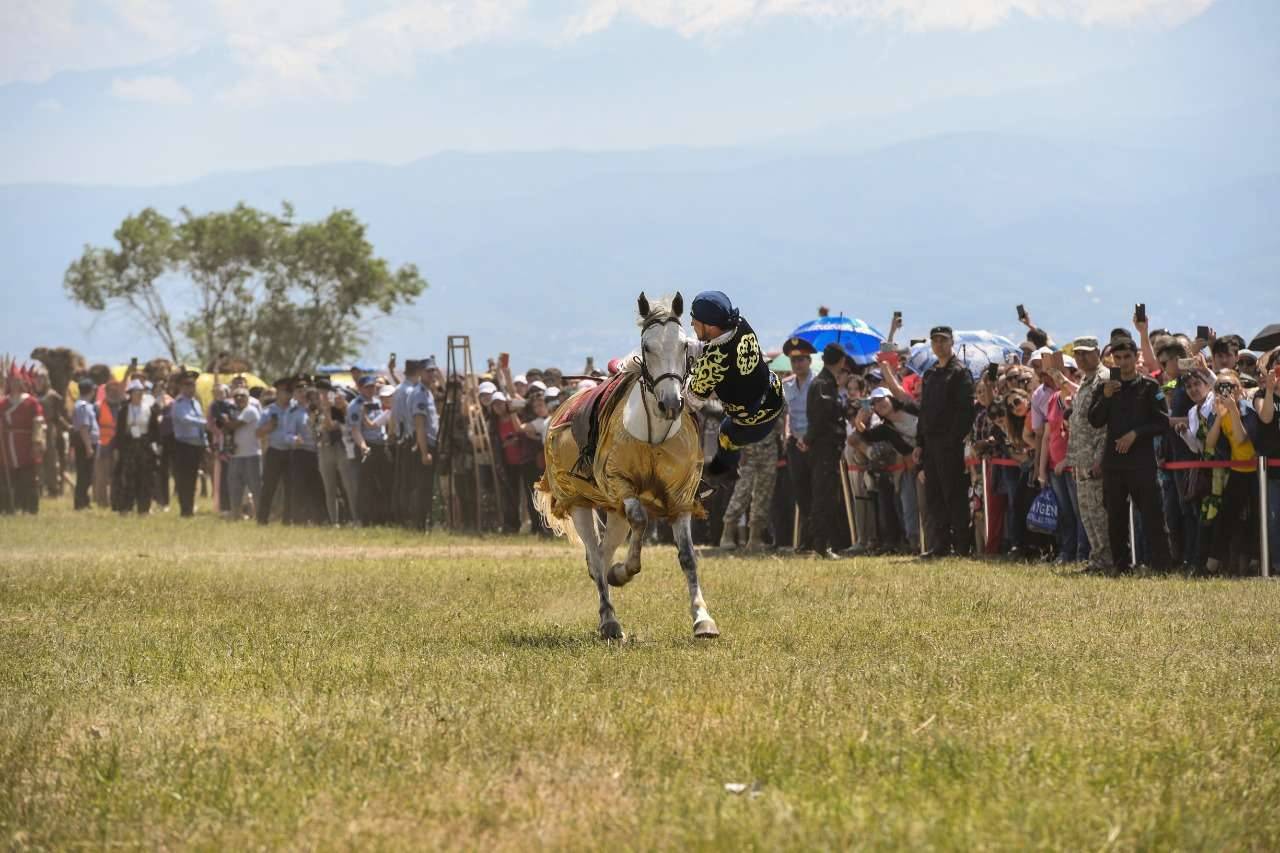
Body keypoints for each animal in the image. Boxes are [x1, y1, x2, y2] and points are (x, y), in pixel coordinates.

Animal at [535, 292, 721, 637]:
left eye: (684, 346)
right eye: (647, 347)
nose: (670, 403)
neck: (653, 435)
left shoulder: (680, 495)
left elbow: (688, 557)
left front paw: (703, 619)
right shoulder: (620, 484)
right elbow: (640, 519)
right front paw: (624, 572)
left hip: (611, 509)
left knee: (604, 552)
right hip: (578, 501)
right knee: (595, 557)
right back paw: (609, 619)